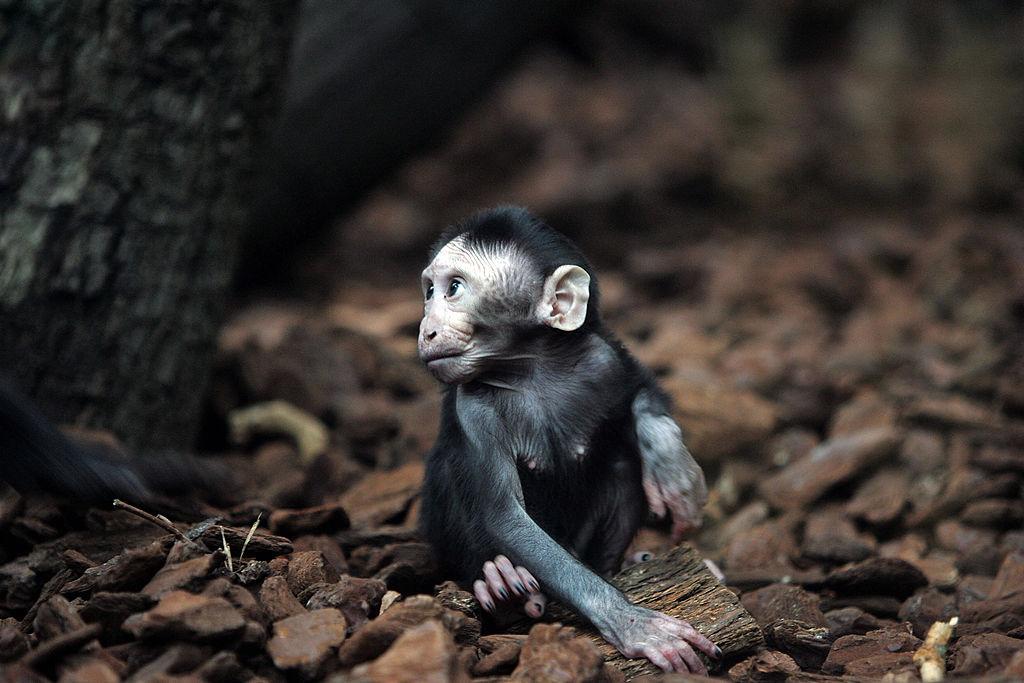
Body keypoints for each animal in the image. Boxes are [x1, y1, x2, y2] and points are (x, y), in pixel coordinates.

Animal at [417, 206, 719, 674]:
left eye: (453, 288)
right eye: (429, 291)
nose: (427, 328)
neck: (532, 368)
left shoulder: (601, 360)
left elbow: (640, 389)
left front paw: (672, 467)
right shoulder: (474, 410)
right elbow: (505, 517)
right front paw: (631, 622)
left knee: (621, 460)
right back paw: (499, 579)